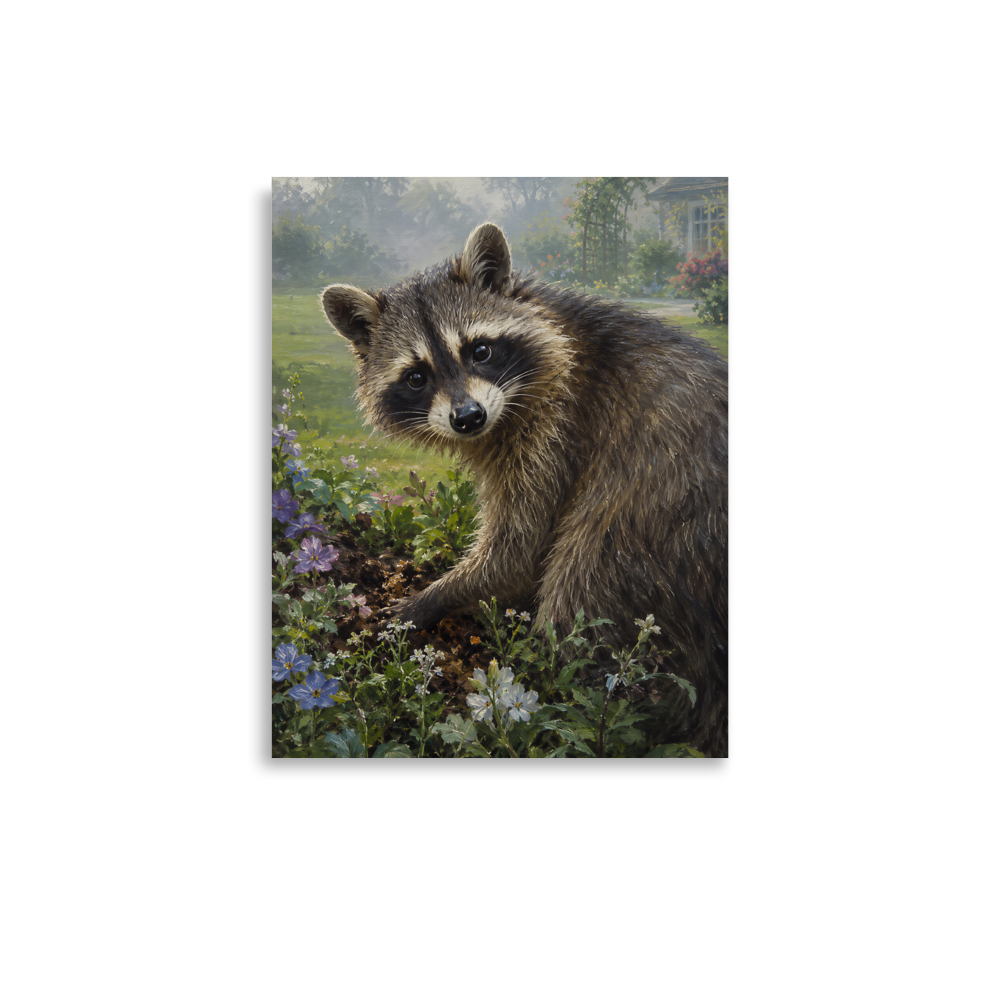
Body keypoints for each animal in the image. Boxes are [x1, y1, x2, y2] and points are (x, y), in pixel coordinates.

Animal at [321, 223, 729, 755]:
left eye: (480, 350)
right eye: (416, 376)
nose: (468, 418)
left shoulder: (558, 428)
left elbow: (518, 549)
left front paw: (433, 597)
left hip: (654, 528)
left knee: (583, 586)